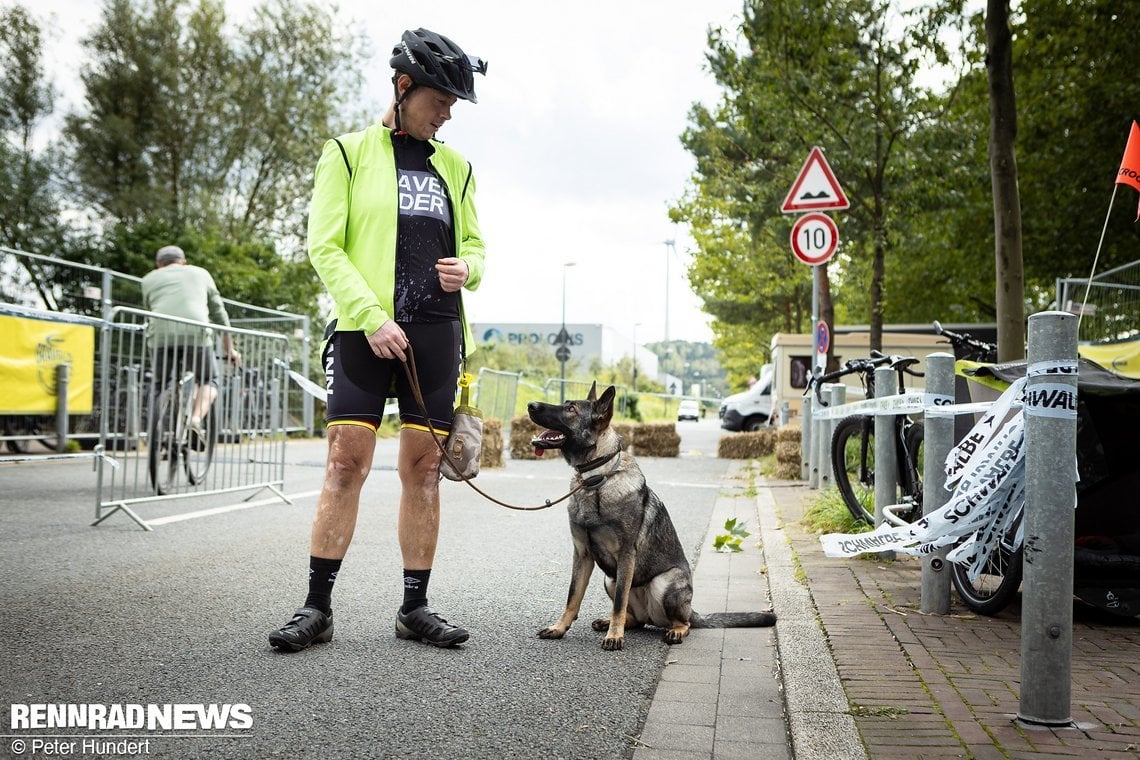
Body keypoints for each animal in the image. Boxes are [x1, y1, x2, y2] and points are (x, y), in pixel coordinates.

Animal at [526, 382, 775, 651]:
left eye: (570, 409)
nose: (530, 405)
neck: (597, 479)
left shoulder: (626, 555)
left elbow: (619, 603)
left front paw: (615, 636)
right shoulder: (582, 554)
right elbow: (573, 596)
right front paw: (559, 628)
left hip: (663, 583)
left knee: (682, 622)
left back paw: (674, 630)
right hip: (609, 579)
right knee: (634, 618)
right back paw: (611, 622)